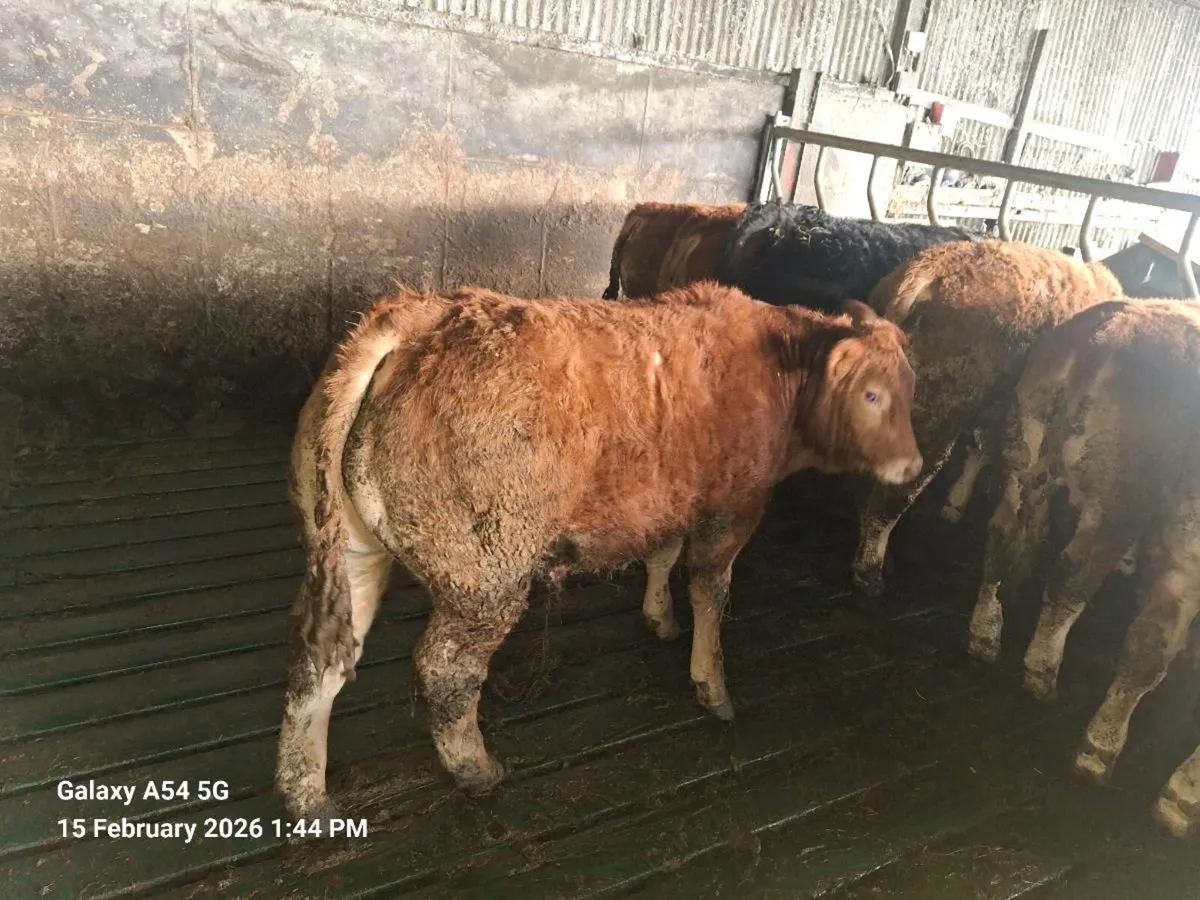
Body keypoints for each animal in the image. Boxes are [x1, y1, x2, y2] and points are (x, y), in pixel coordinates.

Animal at [275, 281, 922, 821]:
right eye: (871, 394)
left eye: (910, 391)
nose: (914, 465)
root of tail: (421, 316)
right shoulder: (733, 507)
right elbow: (711, 590)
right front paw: (712, 686)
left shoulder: (668, 497)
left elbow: (662, 555)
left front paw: (659, 618)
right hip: (486, 574)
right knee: (446, 670)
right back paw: (476, 770)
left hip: (353, 554)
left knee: (317, 659)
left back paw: (305, 792)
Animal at [849, 239, 1125, 596]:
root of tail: (924, 273)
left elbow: (982, 448)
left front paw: (955, 503)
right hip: (934, 415)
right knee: (892, 499)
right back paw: (870, 572)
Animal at [965, 298, 1200, 839]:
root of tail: (1105, 332)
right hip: (1119, 499)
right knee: (1073, 579)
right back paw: (1044, 671)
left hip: (1026, 457)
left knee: (1002, 536)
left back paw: (986, 633)